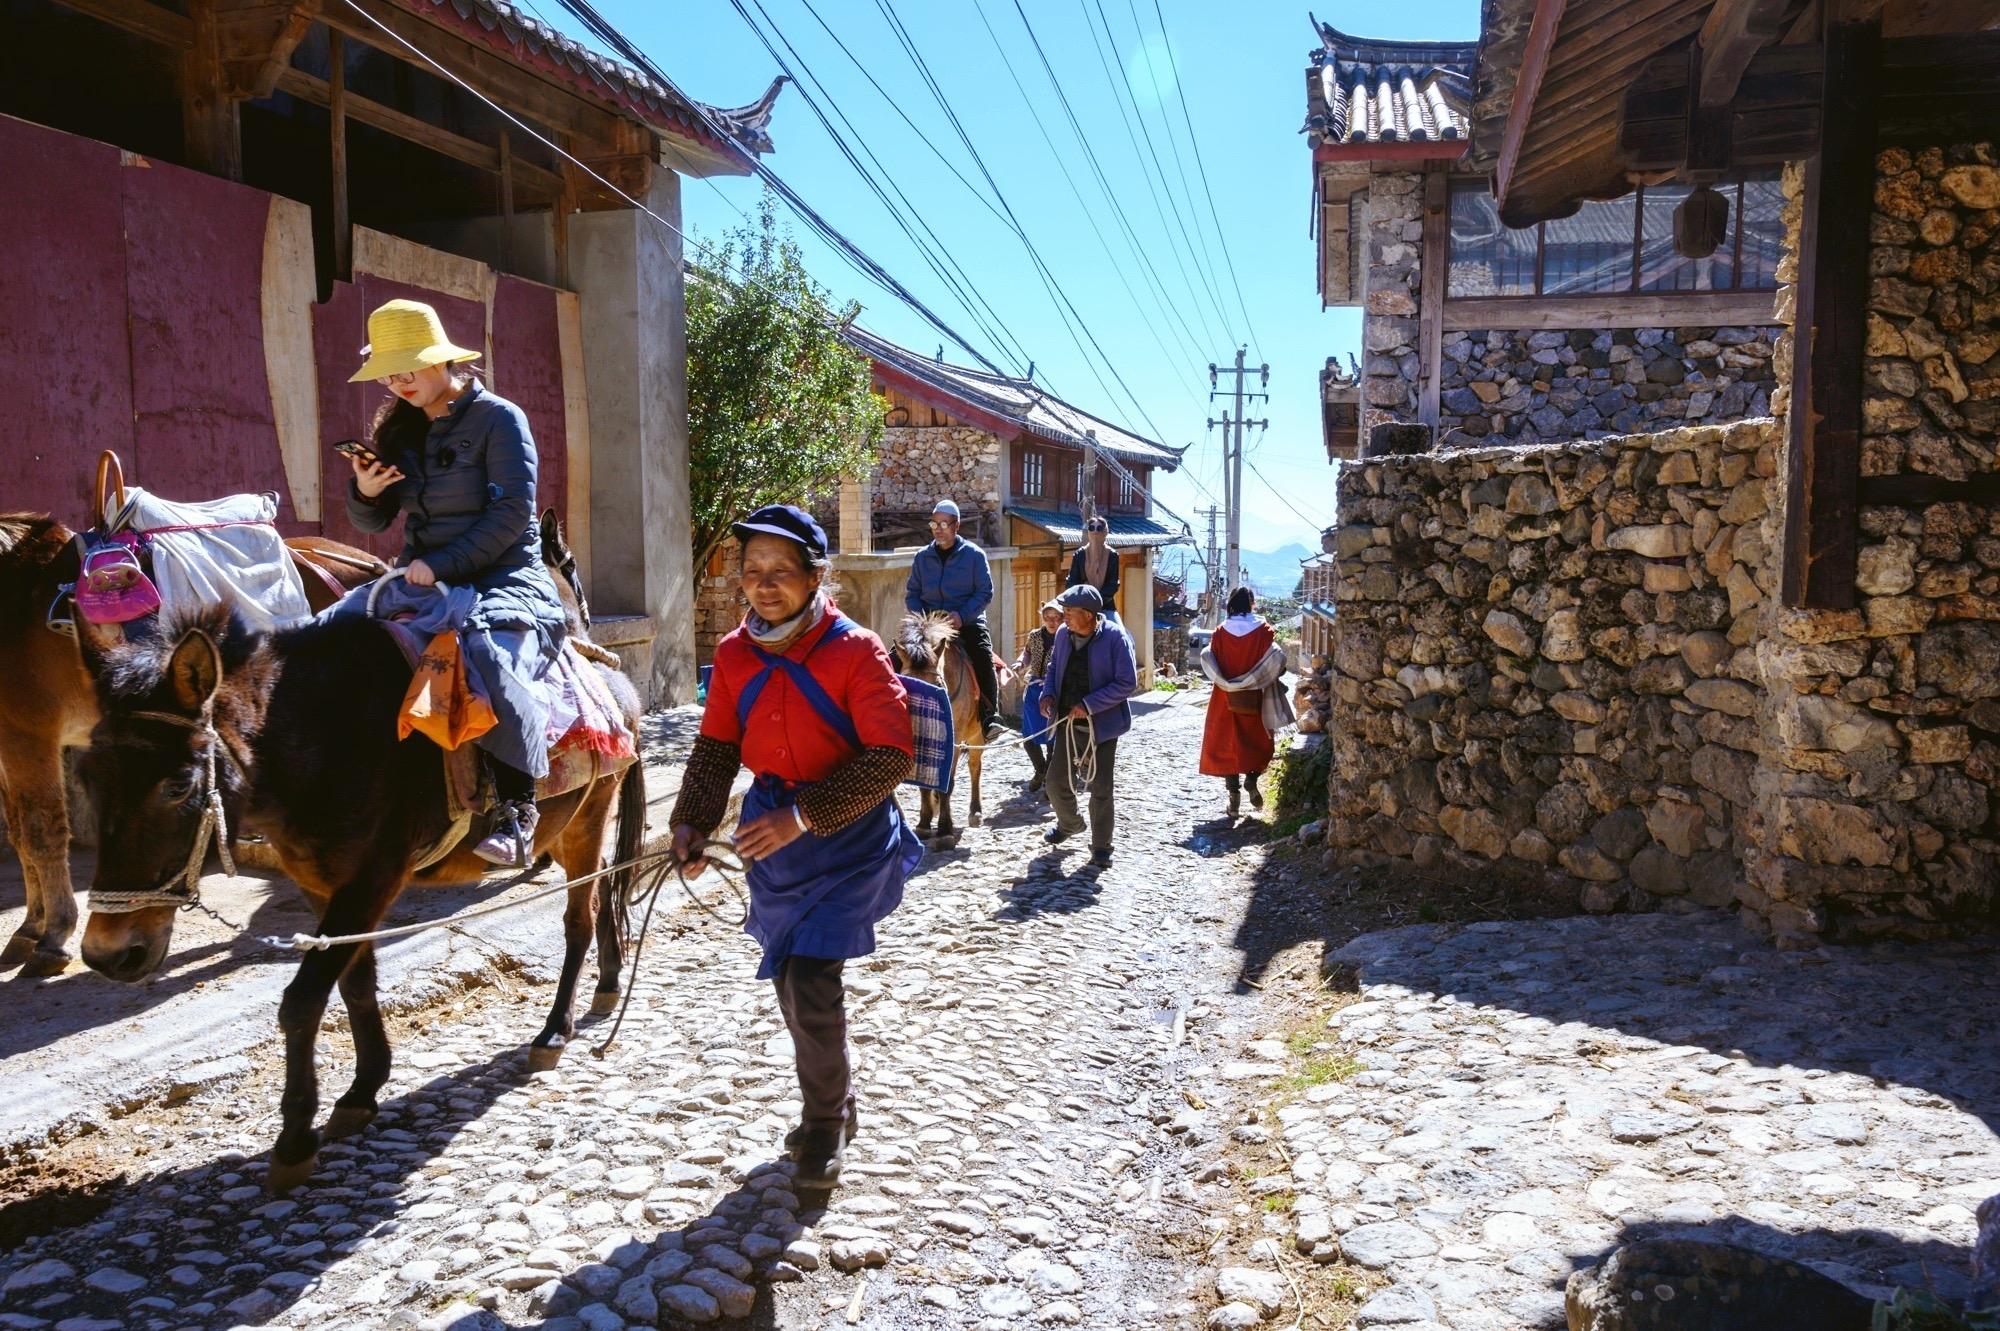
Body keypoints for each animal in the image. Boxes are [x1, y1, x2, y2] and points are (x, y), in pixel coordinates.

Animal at [76, 595, 640, 1183]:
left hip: (588, 816)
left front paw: (296, 1137)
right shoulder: (323, 888)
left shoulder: (371, 881)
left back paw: (555, 1031)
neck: (320, 741)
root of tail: (616, 683)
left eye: (178, 785)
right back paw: (608, 982)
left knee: (577, 920)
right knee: (604, 885)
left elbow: (303, 999)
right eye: (84, 778)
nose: (108, 953)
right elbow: (355, 982)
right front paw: (363, 1090)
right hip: (565, 830)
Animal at [888, 611, 988, 839]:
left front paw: (944, 828)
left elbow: (948, 784)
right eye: (905, 683)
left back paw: (975, 812)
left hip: (976, 735)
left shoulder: (955, 740)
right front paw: (924, 823)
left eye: (937, 685)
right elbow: (924, 783)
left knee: (975, 767)